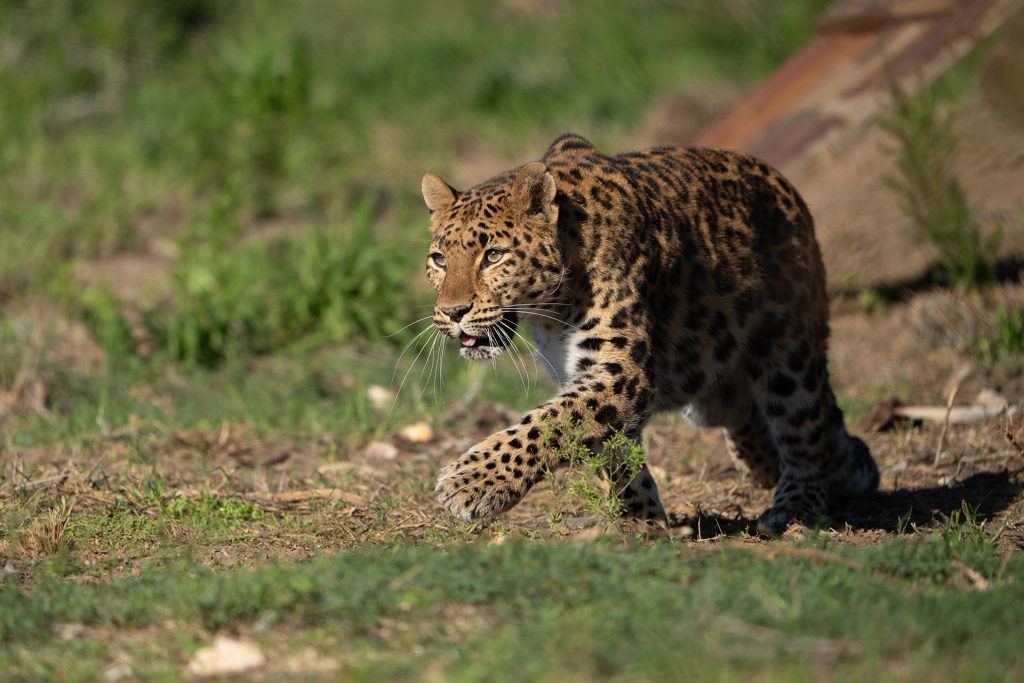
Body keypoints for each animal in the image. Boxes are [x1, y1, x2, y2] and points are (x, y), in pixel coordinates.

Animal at [419, 133, 876, 536]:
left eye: (493, 255)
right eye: (439, 259)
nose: (453, 312)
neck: (550, 310)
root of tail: (788, 189)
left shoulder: (621, 372)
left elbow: (549, 425)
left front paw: (469, 483)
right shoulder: (586, 375)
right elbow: (610, 451)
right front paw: (639, 523)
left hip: (790, 350)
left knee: (805, 429)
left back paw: (796, 505)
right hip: (710, 392)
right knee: (752, 416)